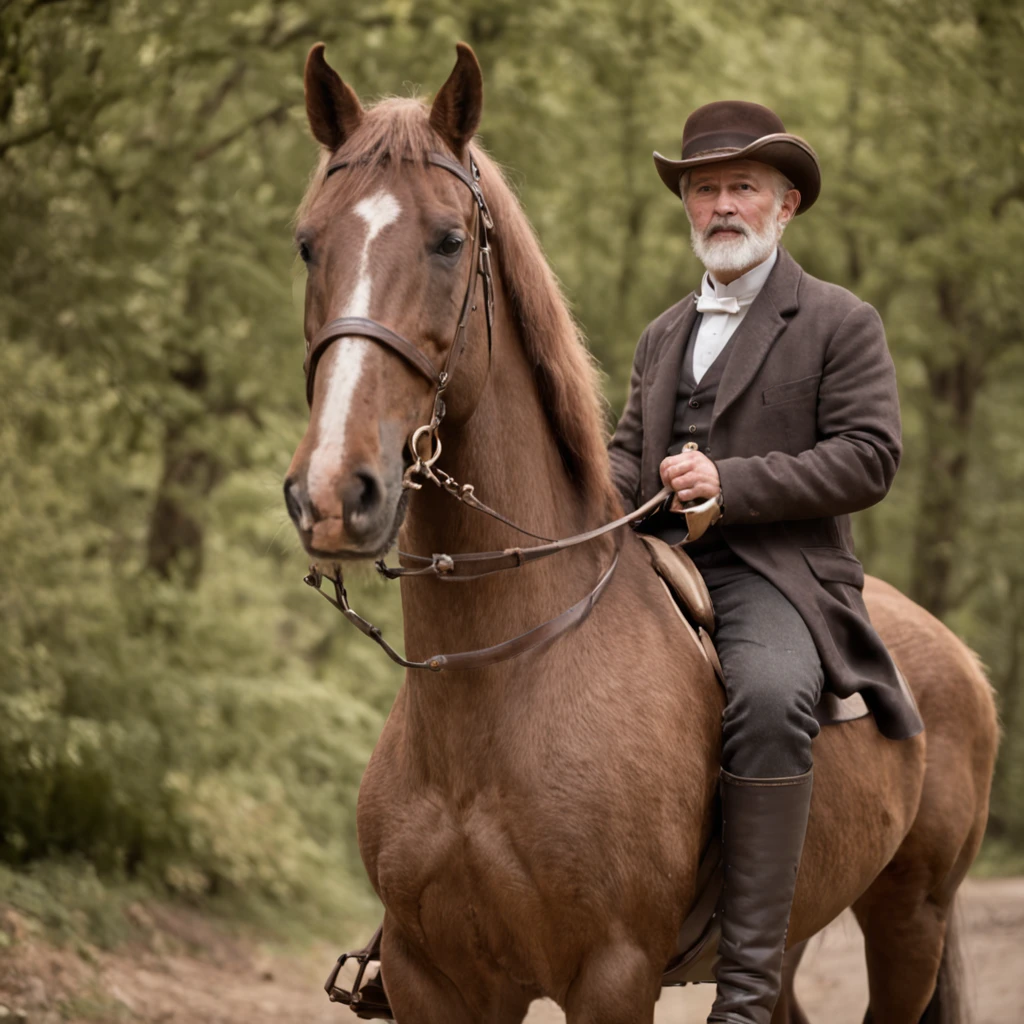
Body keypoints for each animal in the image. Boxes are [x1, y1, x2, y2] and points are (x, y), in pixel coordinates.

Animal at [286, 41, 999, 1024]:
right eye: (308, 242)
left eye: (448, 241)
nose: (332, 491)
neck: (497, 682)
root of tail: (958, 657)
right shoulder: (441, 982)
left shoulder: (613, 975)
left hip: (910, 919)